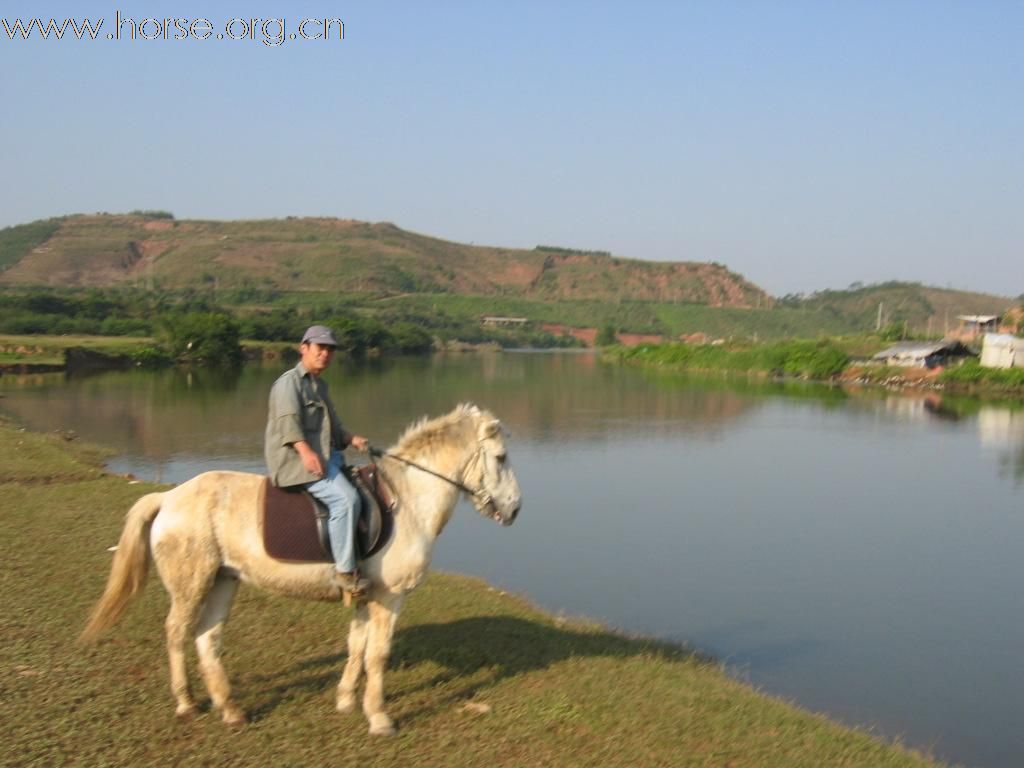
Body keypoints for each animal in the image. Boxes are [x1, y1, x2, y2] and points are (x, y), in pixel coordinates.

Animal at [81, 405, 520, 737]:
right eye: (500, 458)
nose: (515, 509)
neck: (407, 501)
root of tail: (169, 497)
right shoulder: (389, 597)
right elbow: (378, 655)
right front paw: (379, 717)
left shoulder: (365, 594)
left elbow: (356, 646)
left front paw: (345, 700)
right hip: (192, 583)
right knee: (177, 632)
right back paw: (187, 703)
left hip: (223, 581)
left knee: (208, 637)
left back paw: (229, 708)